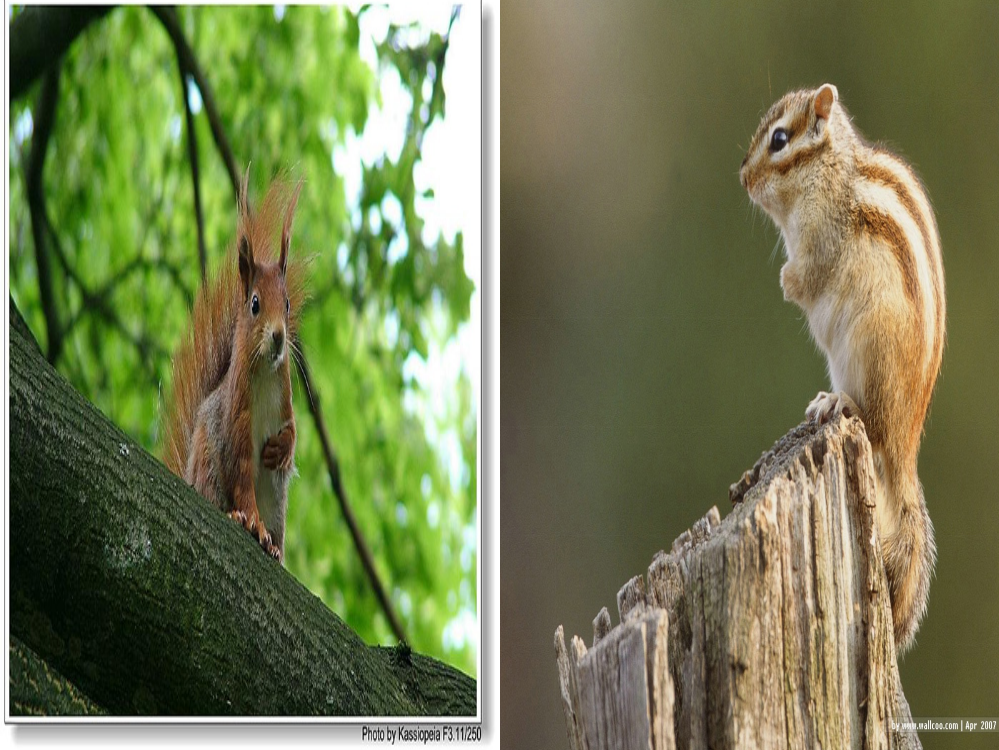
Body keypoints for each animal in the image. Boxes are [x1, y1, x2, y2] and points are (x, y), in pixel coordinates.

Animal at [164, 167, 306, 560]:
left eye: (287, 304)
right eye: (255, 303)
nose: (278, 336)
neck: (265, 374)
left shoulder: (286, 402)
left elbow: (292, 430)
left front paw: (281, 449)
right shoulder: (237, 419)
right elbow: (242, 473)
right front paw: (251, 521)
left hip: (278, 502)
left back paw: (276, 549)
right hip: (209, 465)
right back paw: (240, 519)